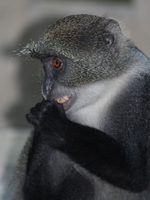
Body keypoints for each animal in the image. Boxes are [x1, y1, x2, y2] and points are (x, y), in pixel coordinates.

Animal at [13, 14, 150, 200]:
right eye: (42, 65)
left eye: (57, 62)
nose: (46, 88)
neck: (101, 92)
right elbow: (32, 191)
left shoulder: (141, 91)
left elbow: (136, 173)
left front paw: (54, 124)